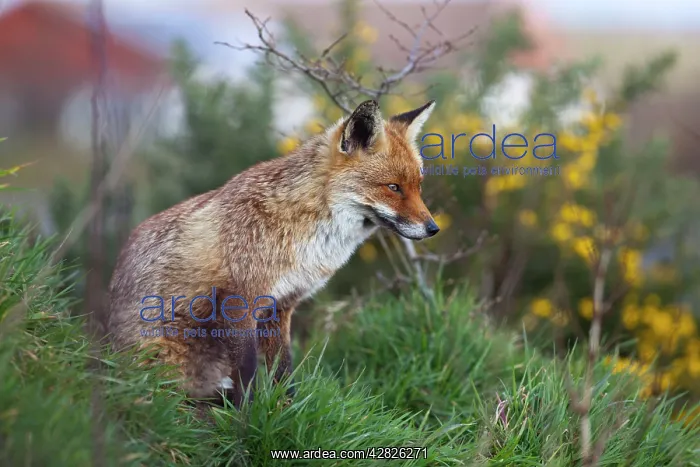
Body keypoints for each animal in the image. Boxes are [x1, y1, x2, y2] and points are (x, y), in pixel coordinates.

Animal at [107, 99, 440, 407]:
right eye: (393, 187)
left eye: (419, 186)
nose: (433, 228)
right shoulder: (239, 300)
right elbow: (248, 371)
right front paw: (245, 419)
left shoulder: (281, 305)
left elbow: (283, 369)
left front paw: (285, 410)